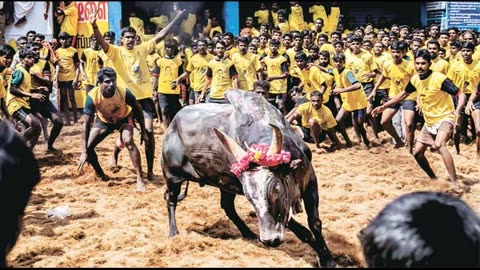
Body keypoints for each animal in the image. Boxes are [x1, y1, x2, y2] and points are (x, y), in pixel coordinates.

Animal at [162, 89, 338, 266]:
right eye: (250, 198)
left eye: (276, 189)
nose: (269, 240)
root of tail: (173, 124)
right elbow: (303, 232)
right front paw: (322, 255)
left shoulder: (310, 182)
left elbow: (315, 223)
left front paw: (328, 259)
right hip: (172, 177)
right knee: (171, 199)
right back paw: (173, 232)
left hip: (224, 184)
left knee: (227, 207)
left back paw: (248, 233)